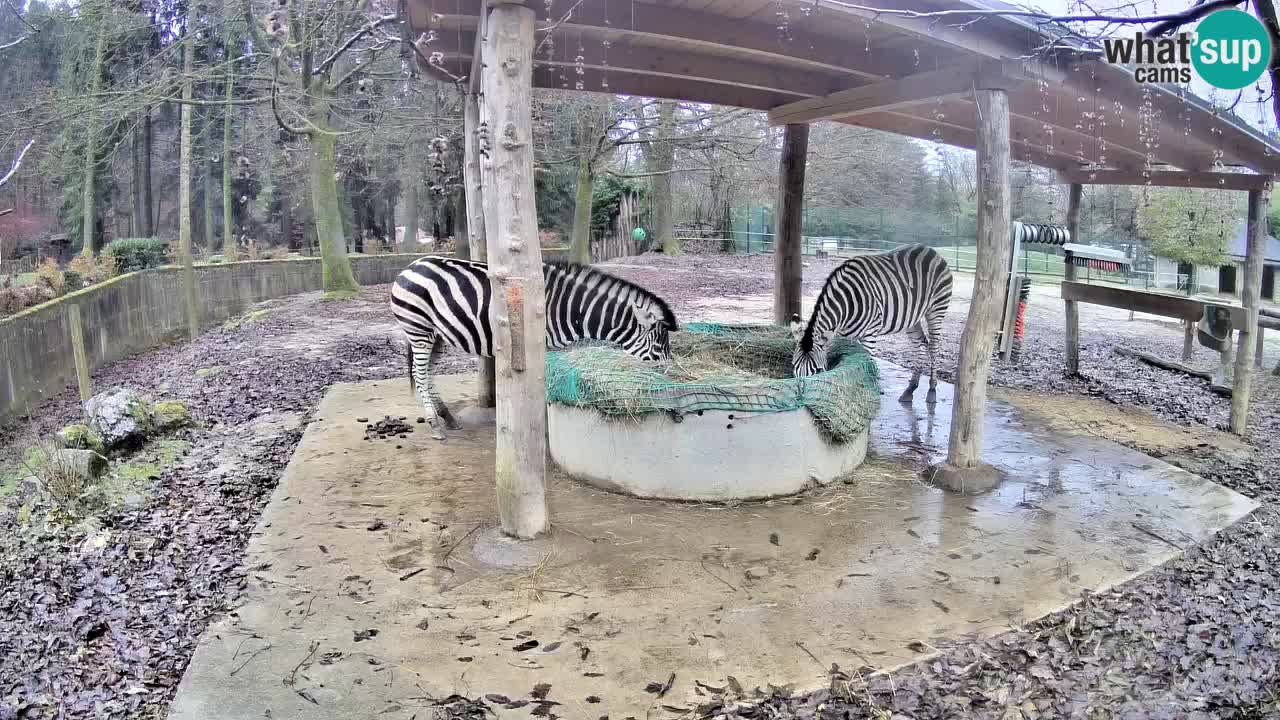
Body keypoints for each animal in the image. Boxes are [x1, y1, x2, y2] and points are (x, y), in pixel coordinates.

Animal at [389, 254, 680, 440]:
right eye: (658, 348)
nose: (672, 382)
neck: (571, 309)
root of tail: (410, 265)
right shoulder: (544, 346)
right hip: (419, 329)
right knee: (419, 374)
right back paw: (435, 425)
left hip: (435, 334)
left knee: (427, 374)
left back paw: (447, 418)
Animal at [788, 242, 952, 404]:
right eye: (794, 367)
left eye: (818, 370)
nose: (801, 400)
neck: (847, 303)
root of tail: (930, 250)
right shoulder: (843, 334)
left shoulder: (870, 334)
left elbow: (865, 363)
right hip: (913, 318)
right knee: (920, 345)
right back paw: (910, 390)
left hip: (936, 309)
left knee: (934, 346)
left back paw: (932, 391)